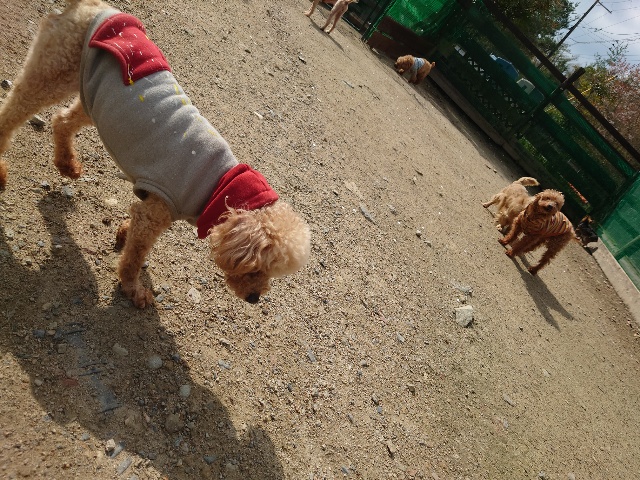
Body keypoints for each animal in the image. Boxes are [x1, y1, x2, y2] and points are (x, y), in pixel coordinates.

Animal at [0, 0, 311, 308]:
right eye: (256, 268)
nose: (255, 298)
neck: (219, 184)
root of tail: (92, 6)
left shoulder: (149, 207)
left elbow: (132, 230)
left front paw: (123, 233)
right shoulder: (157, 210)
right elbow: (135, 257)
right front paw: (133, 289)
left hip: (92, 95)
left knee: (62, 120)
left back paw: (67, 165)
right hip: (52, 70)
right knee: (13, 110)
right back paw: (2, 171)